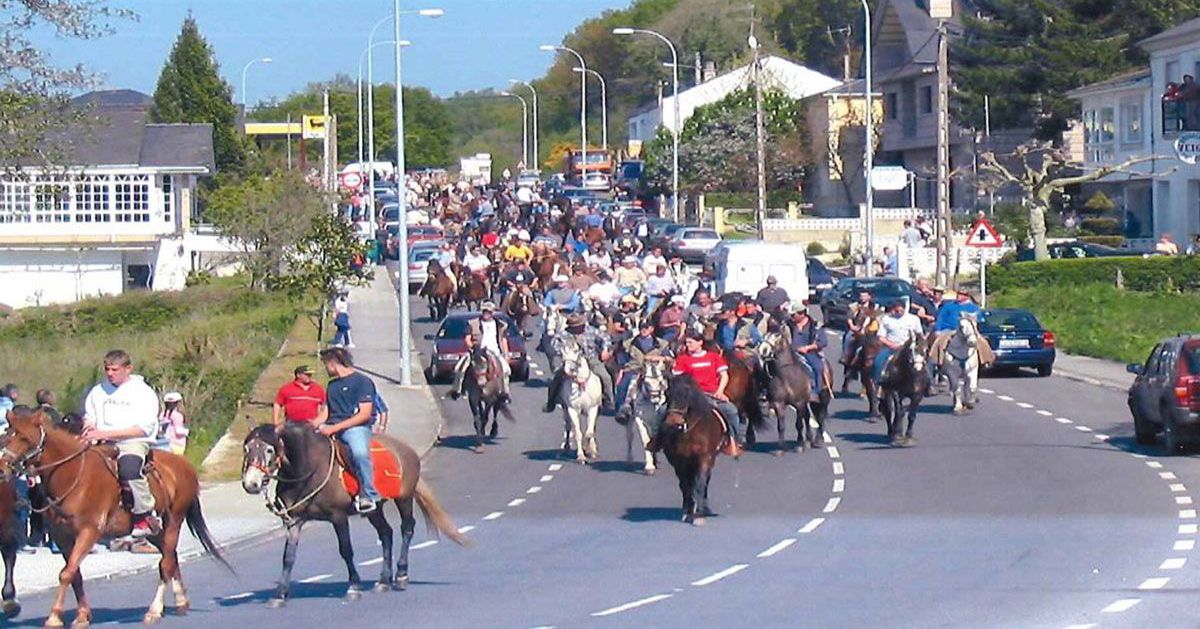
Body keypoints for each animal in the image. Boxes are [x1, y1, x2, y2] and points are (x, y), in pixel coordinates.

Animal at [0, 405, 229, 624]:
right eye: (6, 435)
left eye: (24, 438)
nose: (2, 469)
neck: (72, 476)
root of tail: (184, 465)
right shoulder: (62, 537)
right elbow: (74, 574)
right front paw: (82, 615)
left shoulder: (89, 532)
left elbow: (66, 574)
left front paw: (54, 617)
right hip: (156, 530)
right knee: (170, 557)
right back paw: (181, 602)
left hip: (174, 521)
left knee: (166, 563)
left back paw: (154, 611)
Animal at [242, 420, 468, 607]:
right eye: (246, 448)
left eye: (269, 449)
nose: (251, 484)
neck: (309, 470)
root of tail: (406, 449)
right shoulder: (294, 521)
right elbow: (288, 557)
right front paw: (280, 594)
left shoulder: (338, 517)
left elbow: (346, 550)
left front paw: (353, 587)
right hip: (374, 510)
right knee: (386, 533)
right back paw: (384, 580)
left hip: (404, 498)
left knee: (407, 528)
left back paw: (402, 575)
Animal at [657, 374, 720, 525]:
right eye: (667, 394)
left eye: (686, 395)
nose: (672, 422)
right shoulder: (679, 462)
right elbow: (685, 486)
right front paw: (687, 511)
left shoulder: (705, 458)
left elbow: (700, 484)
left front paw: (699, 515)